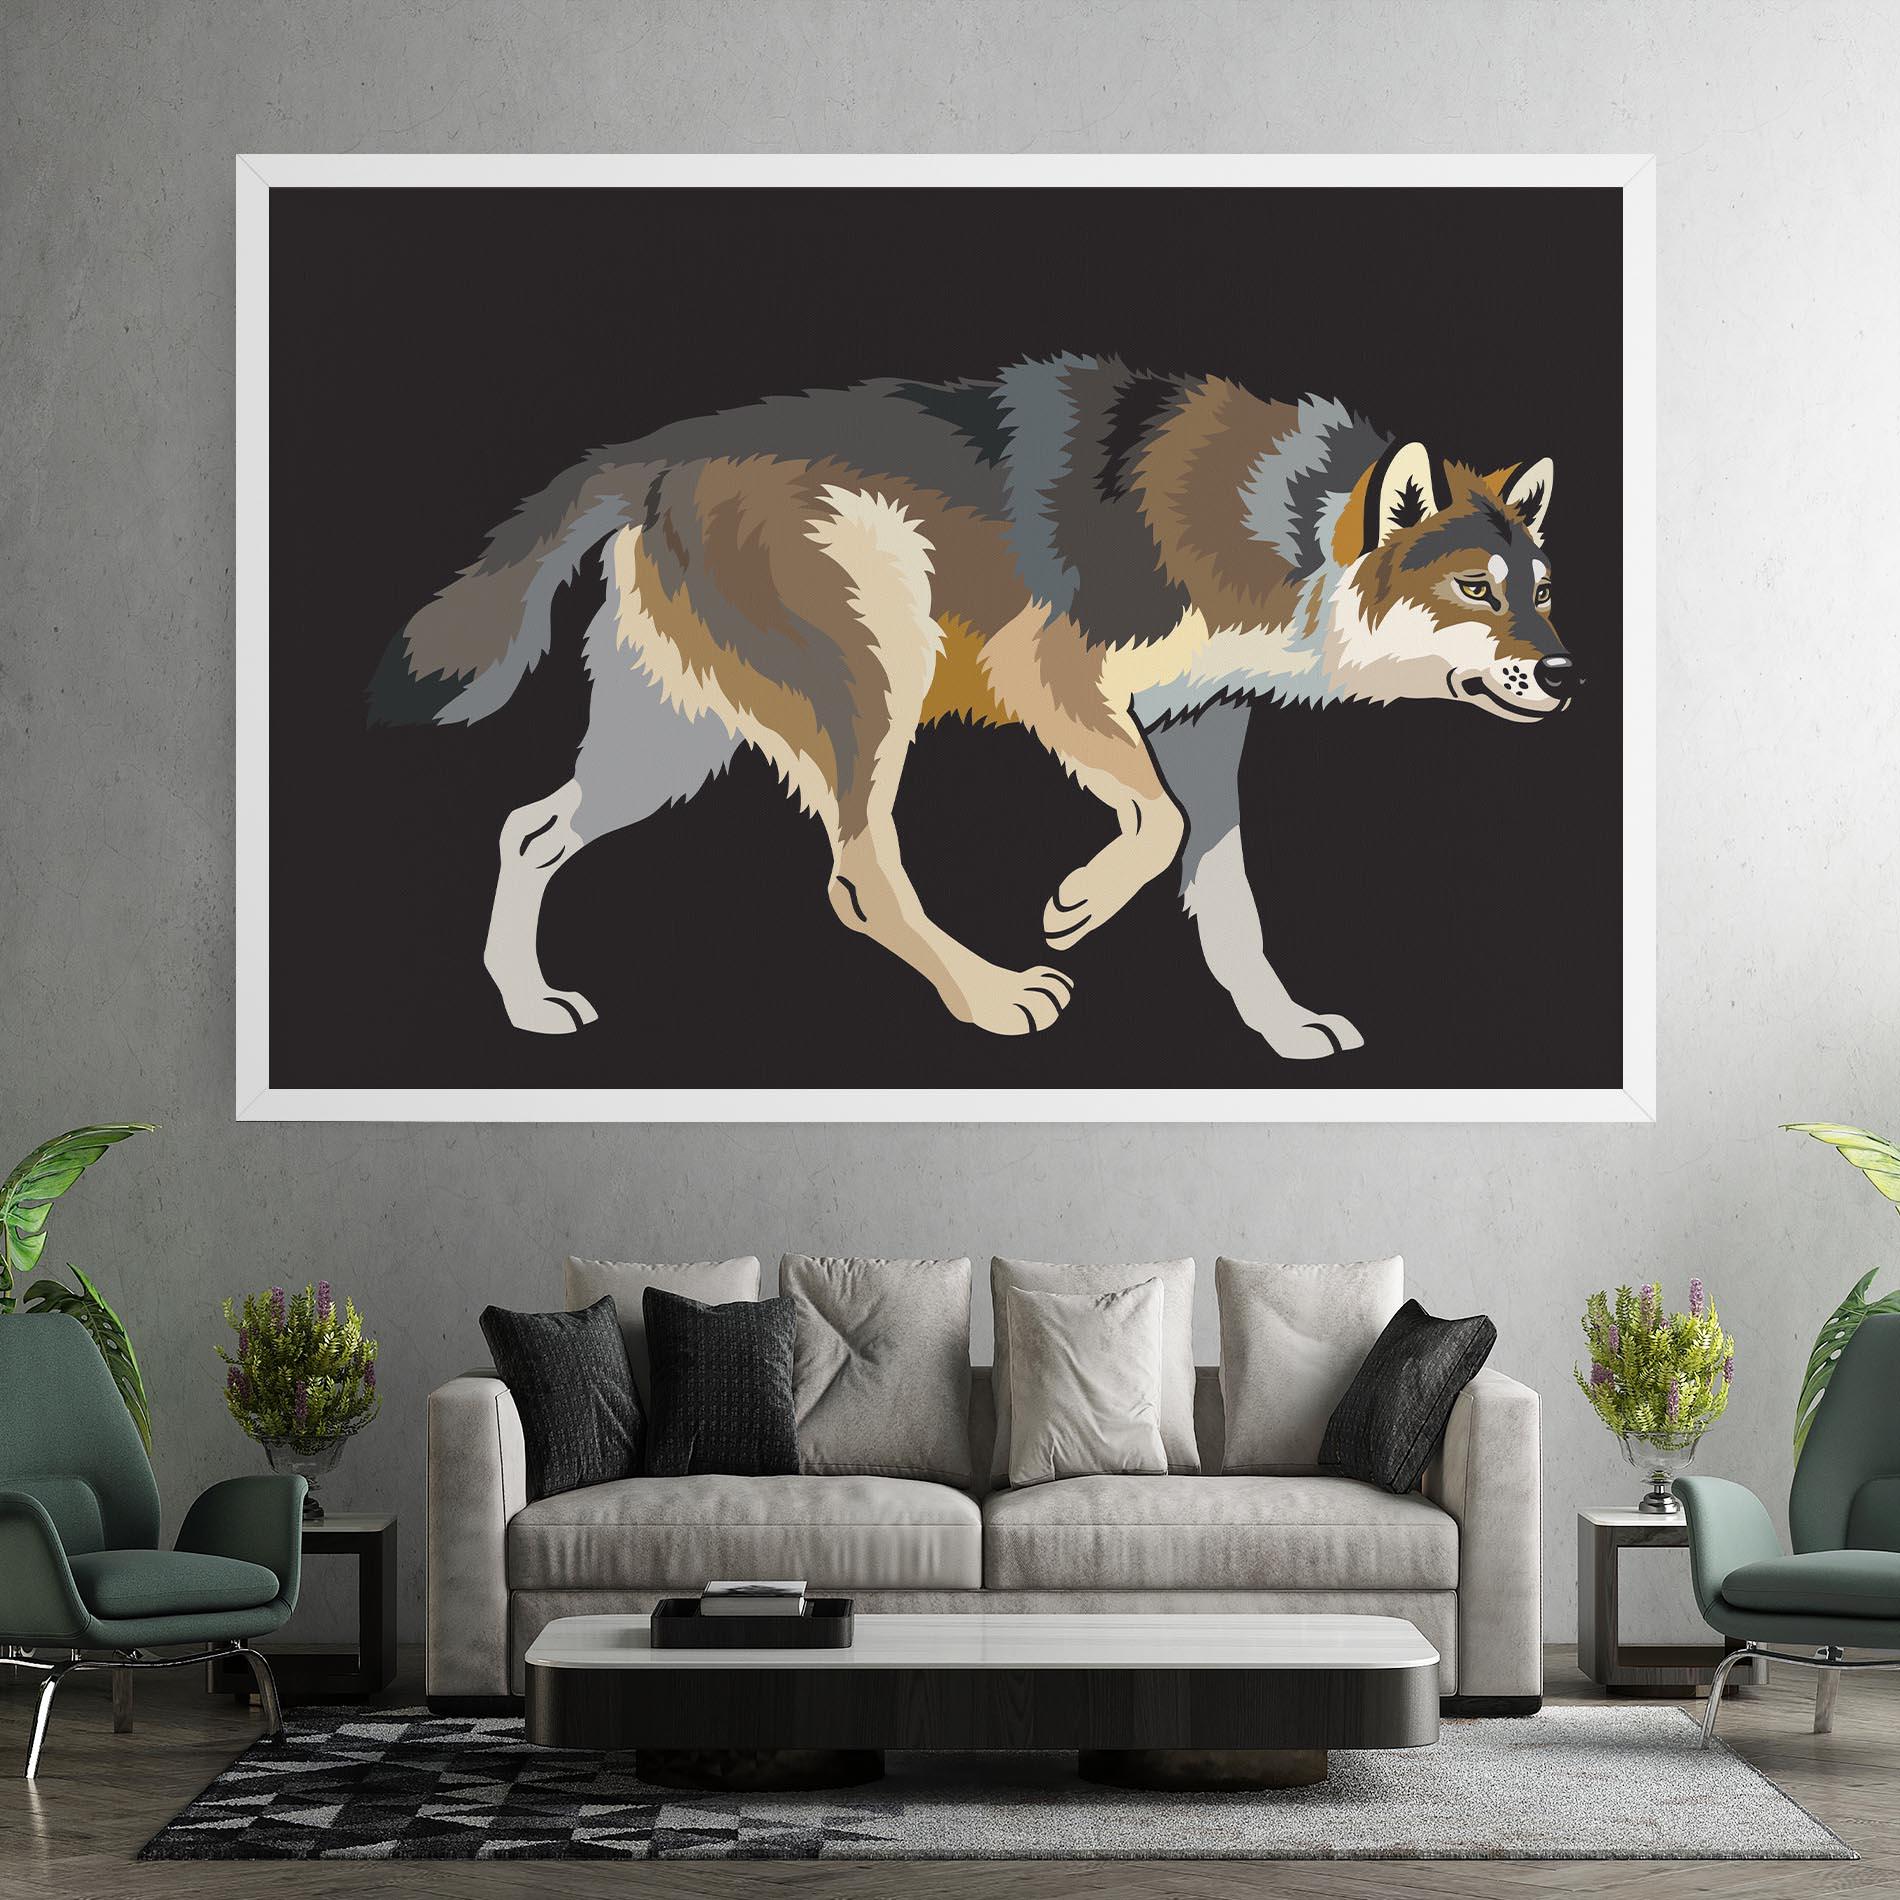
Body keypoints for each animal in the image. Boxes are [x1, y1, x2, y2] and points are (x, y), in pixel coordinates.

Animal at [370, 356, 1575, 1059]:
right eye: (1476, 592)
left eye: (1543, 594)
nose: (1568, 676)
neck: (1289, 529)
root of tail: (649, 452)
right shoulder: (1050, 672)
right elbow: (1156, 826)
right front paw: (1077, 903)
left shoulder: (1203, 725)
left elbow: (1226, 896)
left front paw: (1281, 1028)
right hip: (874, 680)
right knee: (858, 874)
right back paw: (992, 998)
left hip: (669, 749)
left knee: (528, 830)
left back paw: (526, 1006)